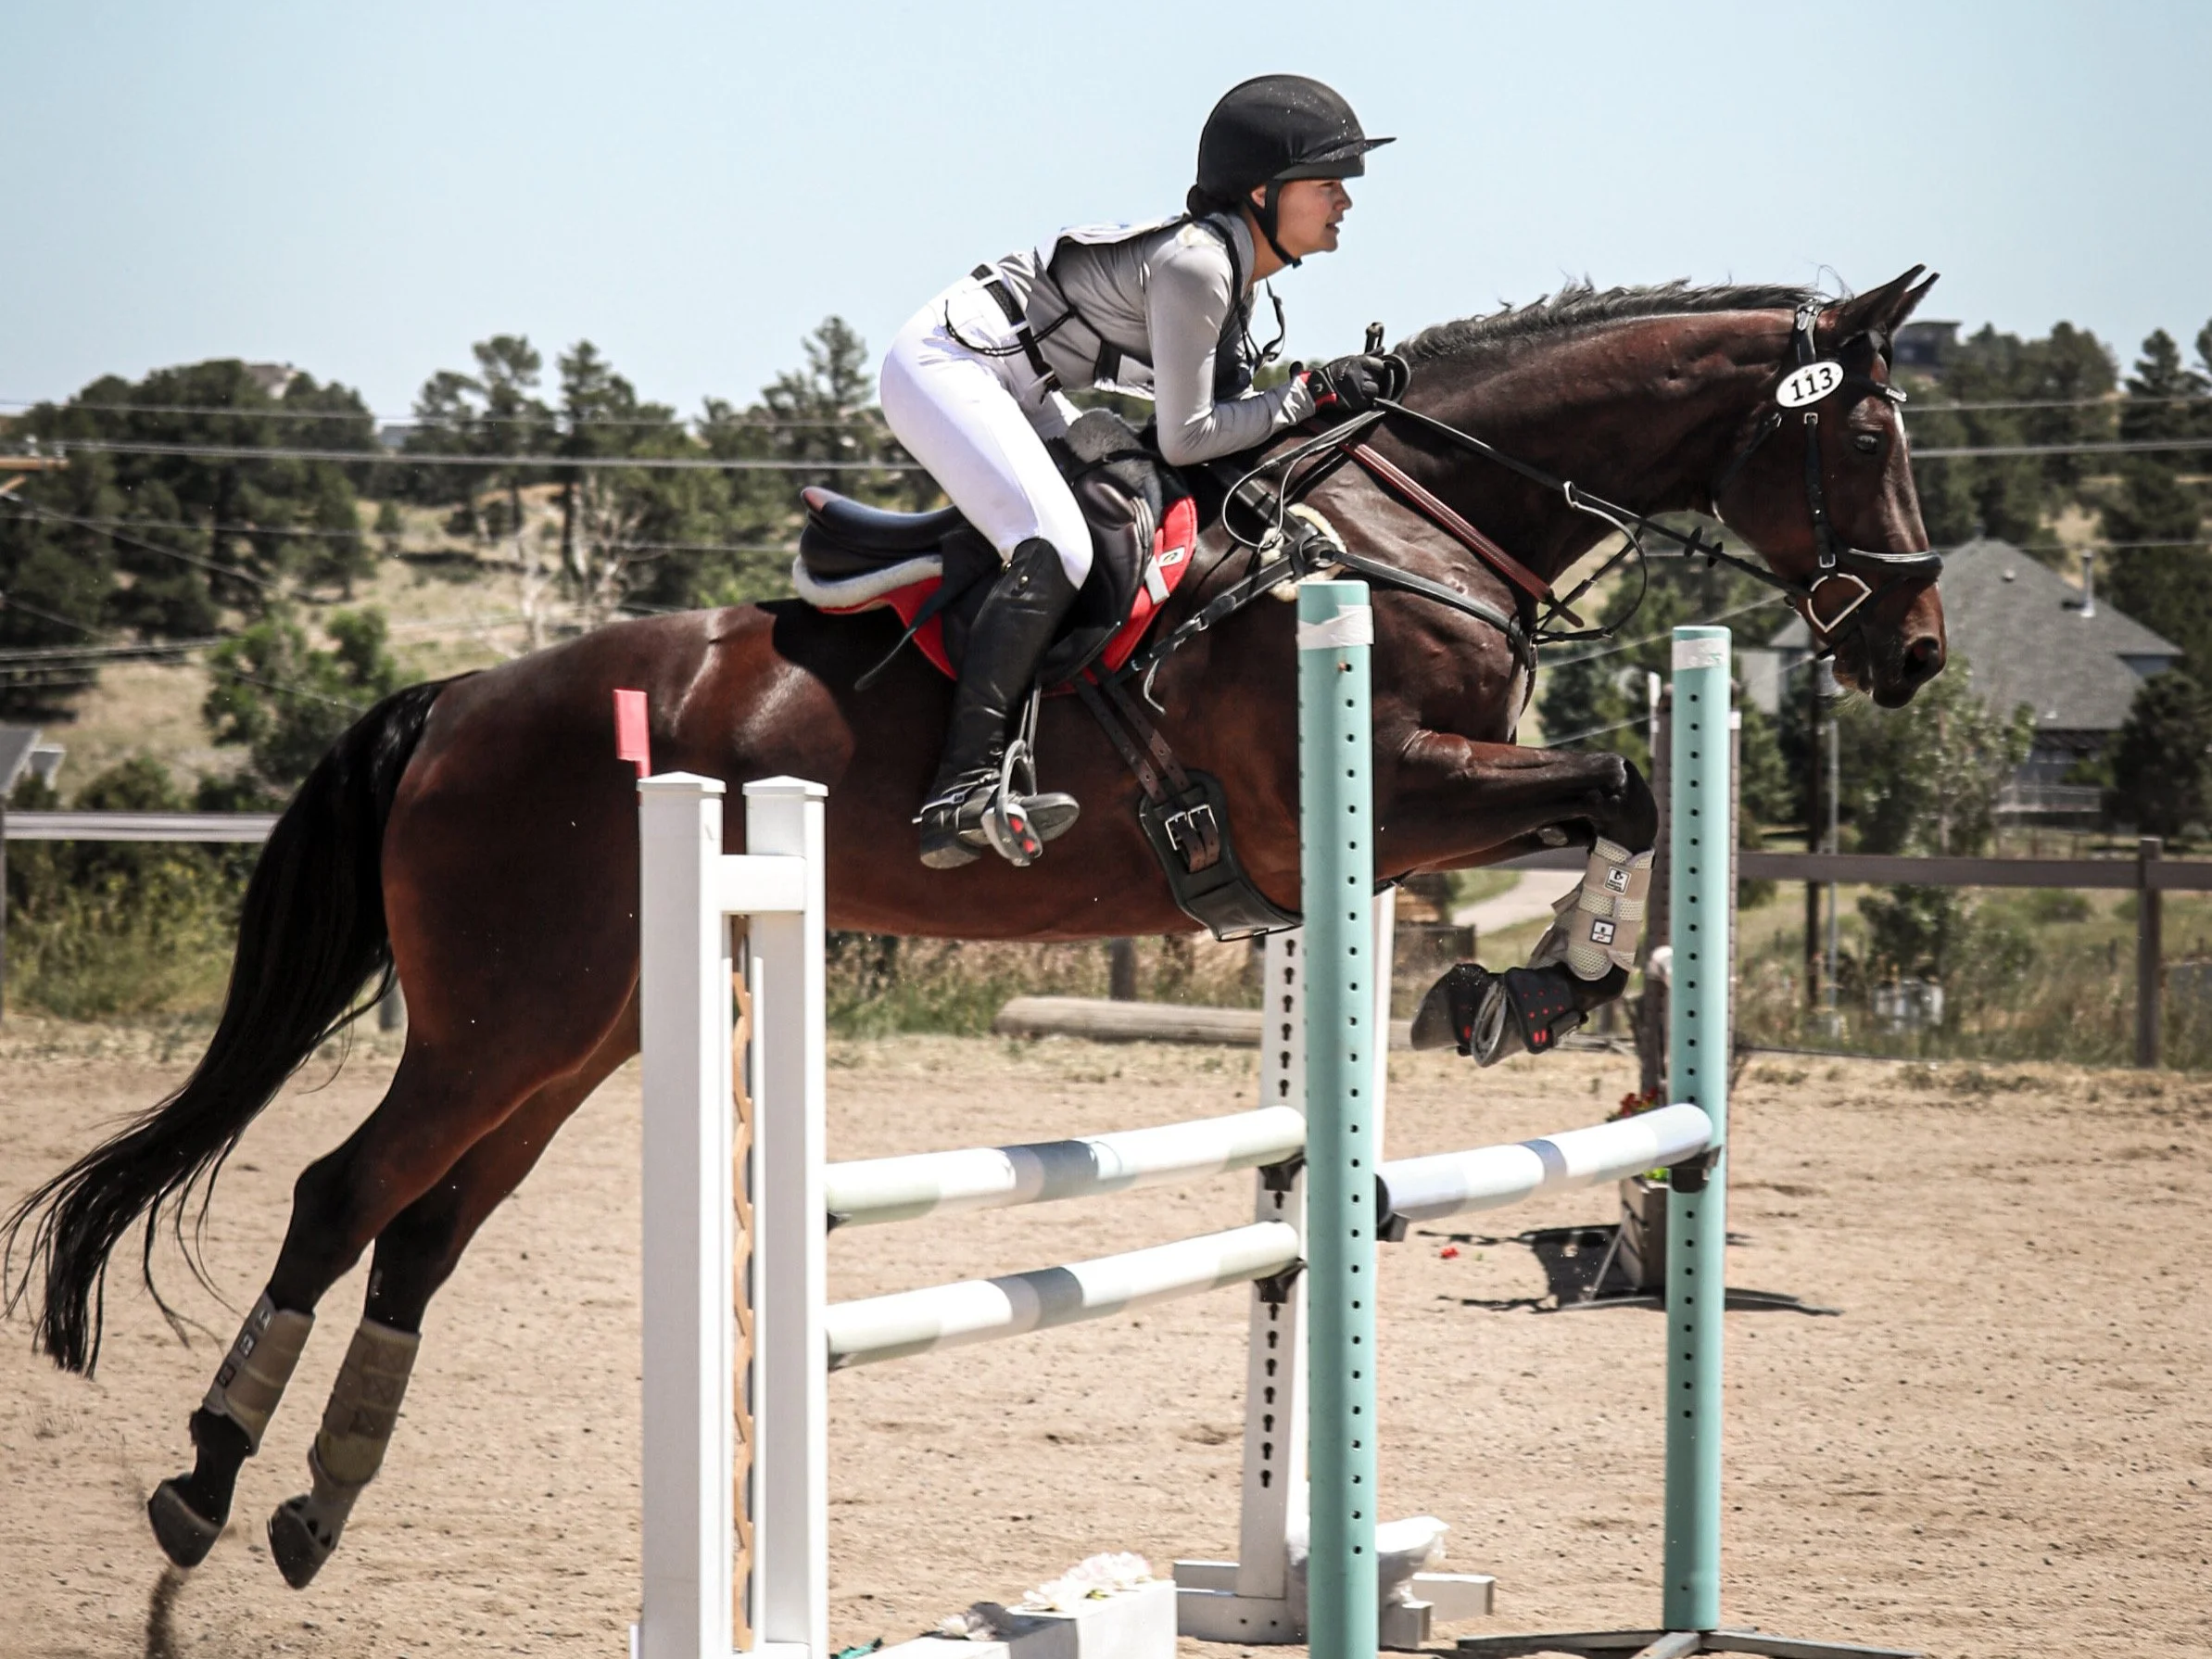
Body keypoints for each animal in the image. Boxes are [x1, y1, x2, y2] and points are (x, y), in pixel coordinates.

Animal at [4, 268, 1947, 1589]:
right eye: (1862, 434)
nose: (1913, 652)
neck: (1406, 519)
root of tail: (463, 701)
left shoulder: (1420, 806)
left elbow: (1617, 798)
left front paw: (1522, 984)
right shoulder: (1377, 784)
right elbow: (1620, 779)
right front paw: (1542, 980)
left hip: (577, 1032)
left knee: (420, 1234)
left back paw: (318, 1500)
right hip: (503, 1018)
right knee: (342, 1196)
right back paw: (205, 1479)